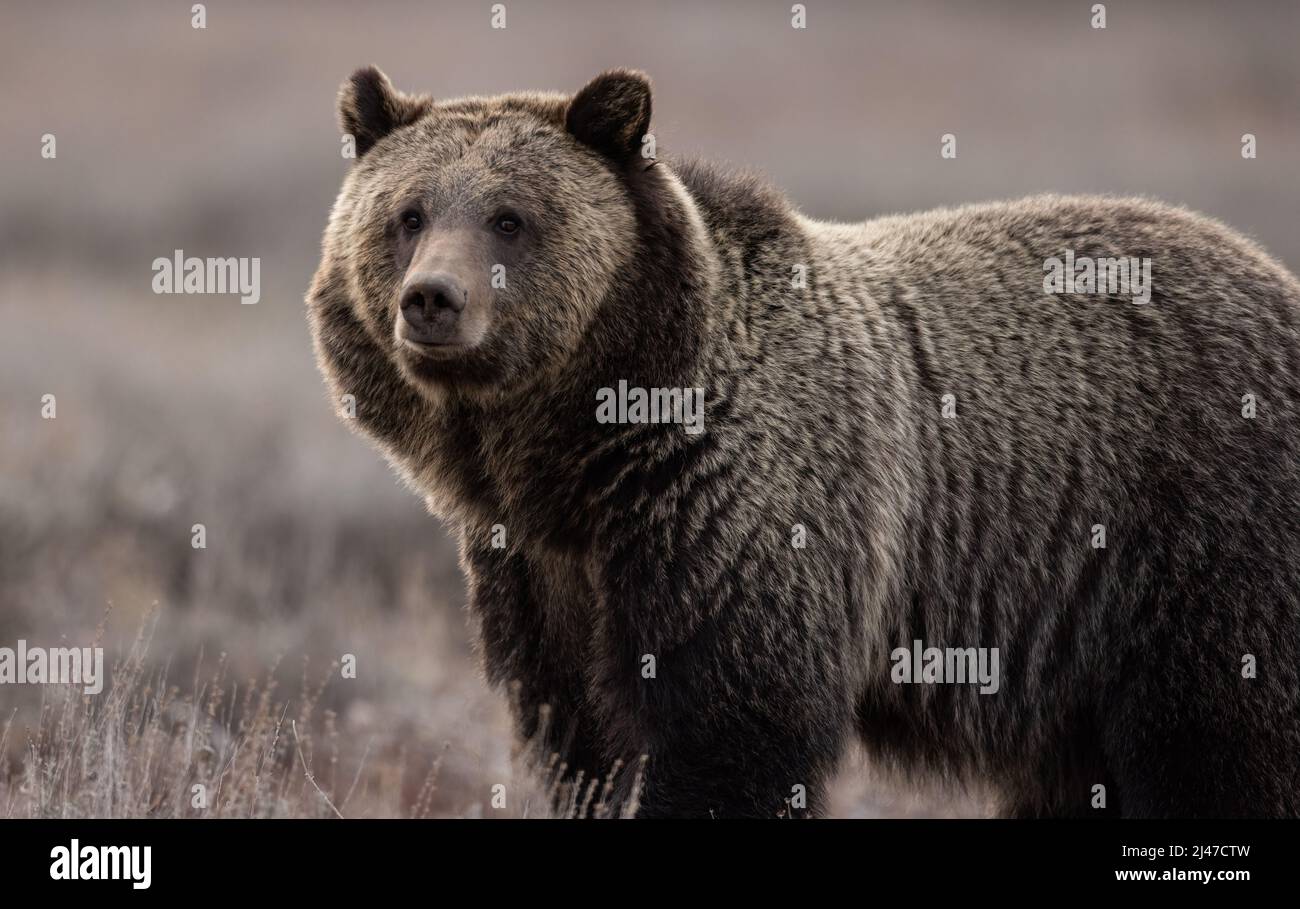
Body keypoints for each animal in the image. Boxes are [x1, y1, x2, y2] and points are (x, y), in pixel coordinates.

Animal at [306, 66, 1300, 818]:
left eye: (510, 216)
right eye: (408, 213)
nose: (432, 300)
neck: (581, 449)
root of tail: (1274, 275)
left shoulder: (738, 515)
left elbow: (731, 729)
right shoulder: (541, 568)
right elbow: (580, 738)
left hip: (1193, 545)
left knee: (1217, 742)